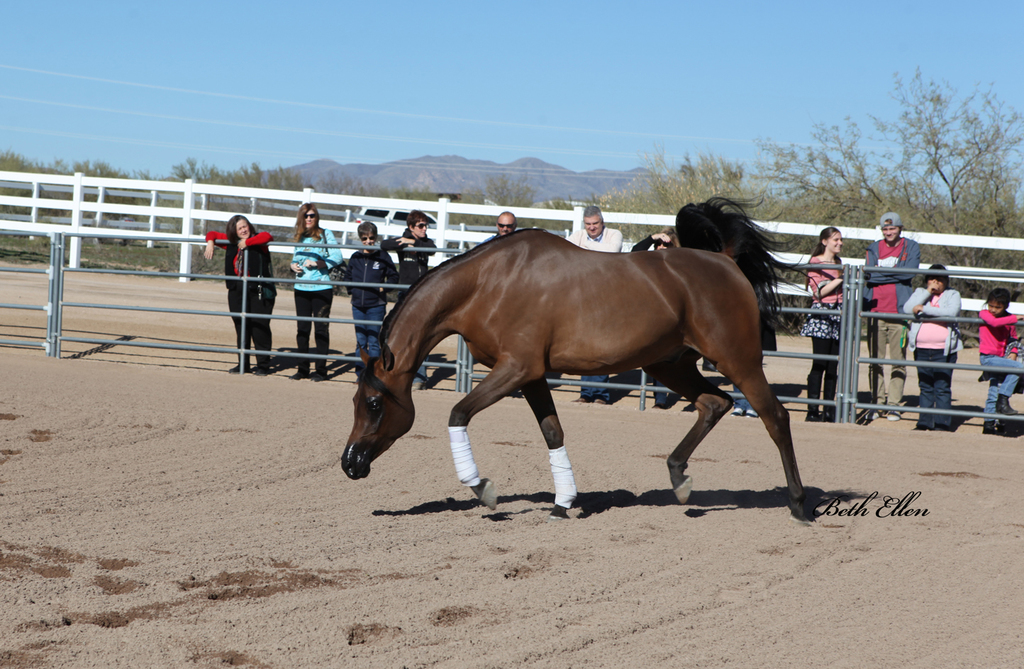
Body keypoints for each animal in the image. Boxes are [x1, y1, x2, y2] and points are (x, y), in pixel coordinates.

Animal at [343, 199, 809, 524]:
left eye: (374, 404)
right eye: (355, 403)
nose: (349, 463)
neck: (487, 284)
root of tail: (725, 260)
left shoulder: (515, 370)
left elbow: (458, 413)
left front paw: (483, 489)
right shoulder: (530, 376)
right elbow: (553, 432)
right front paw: (563, 502)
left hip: (738, 360)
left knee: (775, 417)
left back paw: (799, 504)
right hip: (668, 364)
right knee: (714, 404)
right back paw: (679, 479)